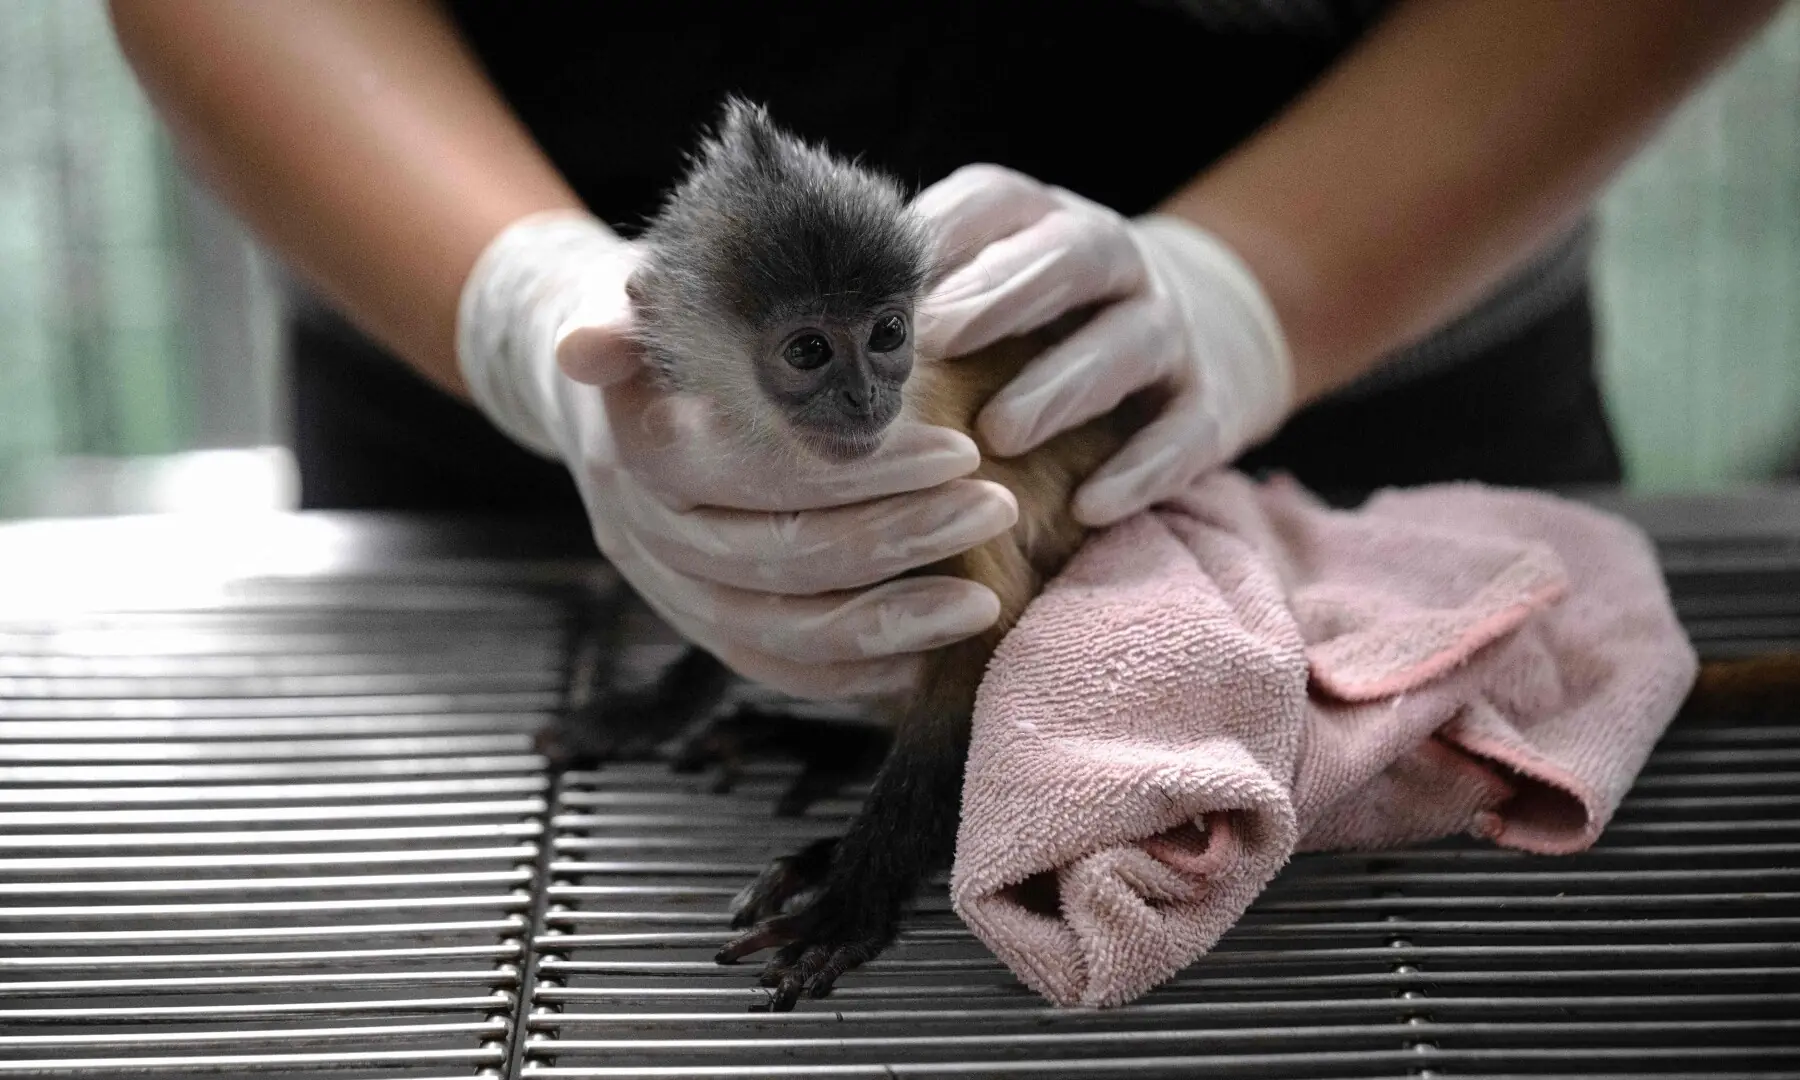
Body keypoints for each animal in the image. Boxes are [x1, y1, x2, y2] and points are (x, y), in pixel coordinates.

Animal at [534, 97, 1800, 1012]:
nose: (862, 394)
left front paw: (854, 893)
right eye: (809, 349)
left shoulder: (950, 486)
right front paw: (654, 702)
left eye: (887, 332)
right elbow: (745, 593)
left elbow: (989, 647)